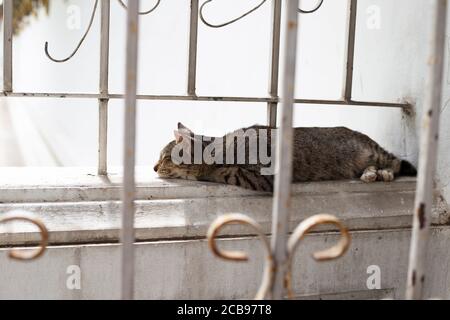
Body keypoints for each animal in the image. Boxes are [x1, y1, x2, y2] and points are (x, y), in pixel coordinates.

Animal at [154, 124, 414, 191]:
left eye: (165, 157)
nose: (155, 167)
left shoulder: (264, 175)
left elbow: (226, 171)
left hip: (375, 152)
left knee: (396, 162)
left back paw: (384, 172)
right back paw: (370, 174)